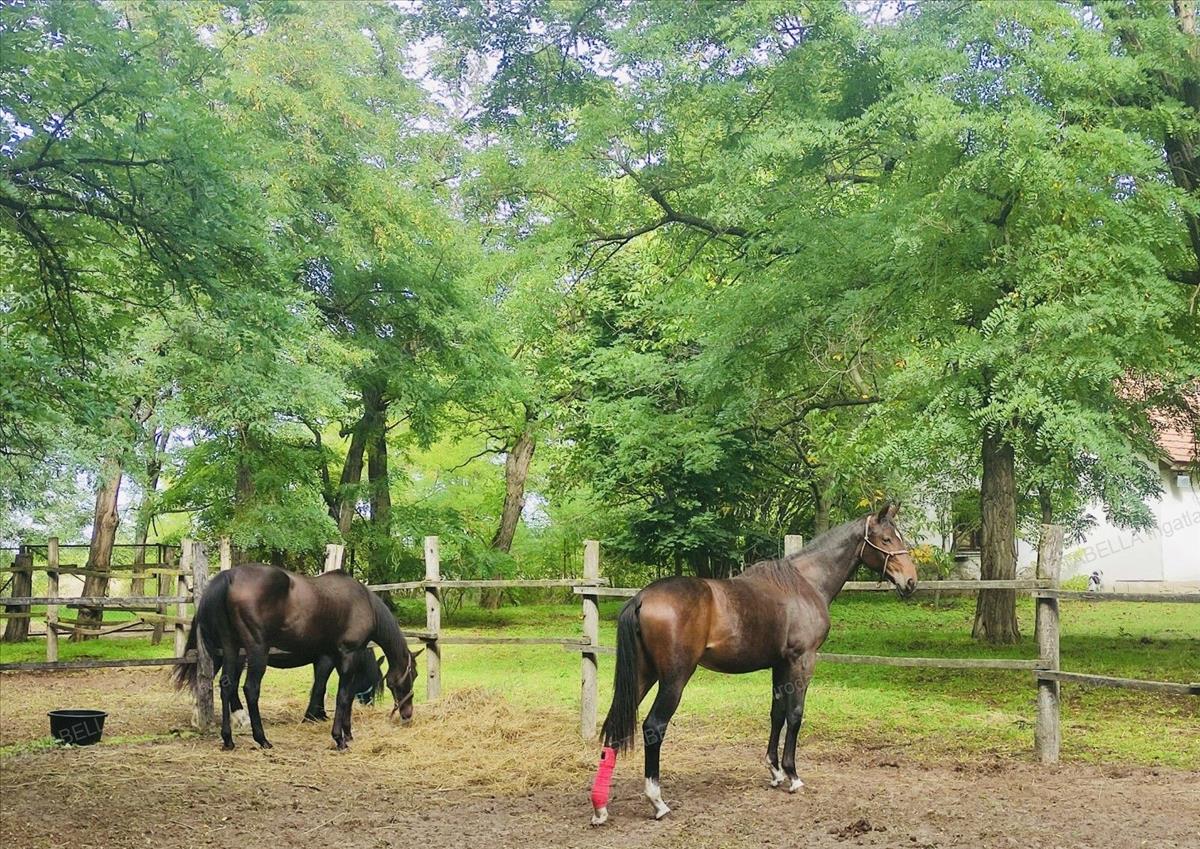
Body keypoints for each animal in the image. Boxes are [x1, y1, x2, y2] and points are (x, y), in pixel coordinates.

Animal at [174, 564, 420, 750]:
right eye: (414, 675)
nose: (407, 714)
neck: (364, 603)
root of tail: (229, 576)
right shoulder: (347, 655)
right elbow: (341, 696)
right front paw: (338, 738)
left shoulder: (331, 656)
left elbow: (336, 692)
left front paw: (345, 732)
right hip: (256, 651)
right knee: (249, 689)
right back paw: (261, 738)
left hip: (231, 648)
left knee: (226, 686)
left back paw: (228, 739)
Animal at [588, 503, 919, 825]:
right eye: (886, 539)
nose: (911, 580)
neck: (805, 584)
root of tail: (642, 598)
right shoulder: (802, 661)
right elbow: (795, 715)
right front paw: (793, 775)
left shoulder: (780, 665)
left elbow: (776, 714)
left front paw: (775, 772)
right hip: (674, 678)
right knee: (654, 727)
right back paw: (657, 802)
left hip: (643, 675)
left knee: (615, 723)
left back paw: (600, 808)